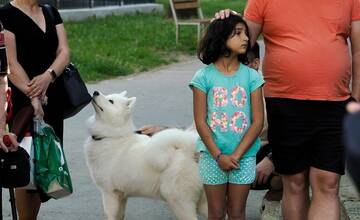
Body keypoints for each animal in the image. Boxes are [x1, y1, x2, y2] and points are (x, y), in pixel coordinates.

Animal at [84, 91, 207, 220]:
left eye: (110, 101)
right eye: (108, 96)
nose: (95, 92)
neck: (111, 136)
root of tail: (190, 151)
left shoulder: (109, 193)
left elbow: (109, 216)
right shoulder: (121, 196)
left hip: (178, 201)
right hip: (201, 202)